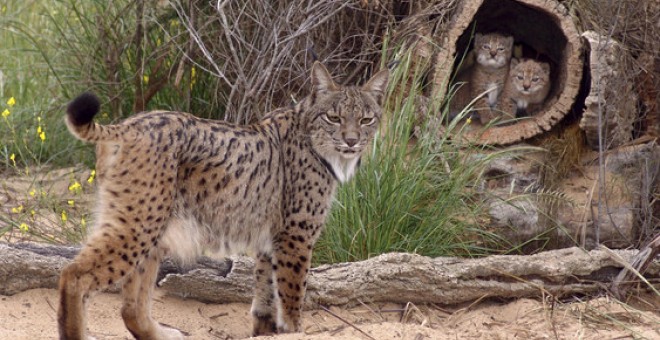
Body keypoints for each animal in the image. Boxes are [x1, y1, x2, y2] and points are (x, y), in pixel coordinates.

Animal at [59, 62, 390, 338]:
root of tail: (128, 124)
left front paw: (265, 329)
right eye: (333, 117)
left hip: (152, 225)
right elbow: (292, 292)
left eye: (366, 119)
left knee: (130, 307)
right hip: (140, 222)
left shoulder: (271, 237)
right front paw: (295, 330)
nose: (351, 141)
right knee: (73, 274)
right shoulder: (296, 234)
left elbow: (266, 290)